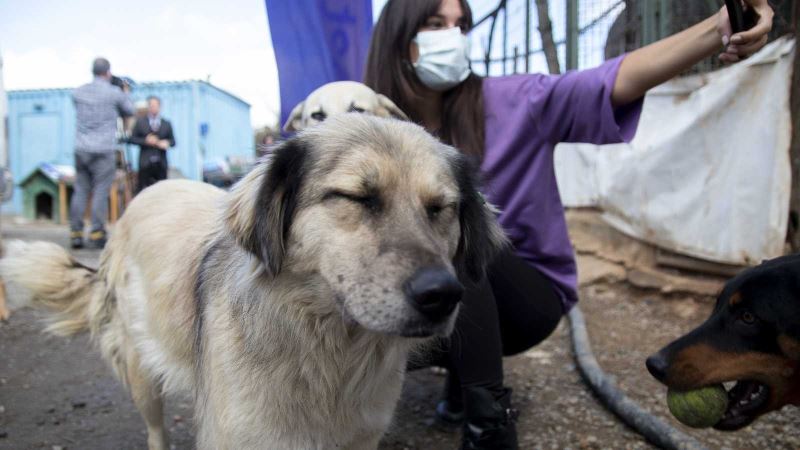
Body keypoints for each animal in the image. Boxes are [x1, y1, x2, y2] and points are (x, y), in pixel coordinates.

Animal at [1, 115, 506, 450]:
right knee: (156, 431)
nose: (442, 295)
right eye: (356, 197)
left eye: (441, 209)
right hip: (141, 372)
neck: (327, 351)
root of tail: (147, 190)